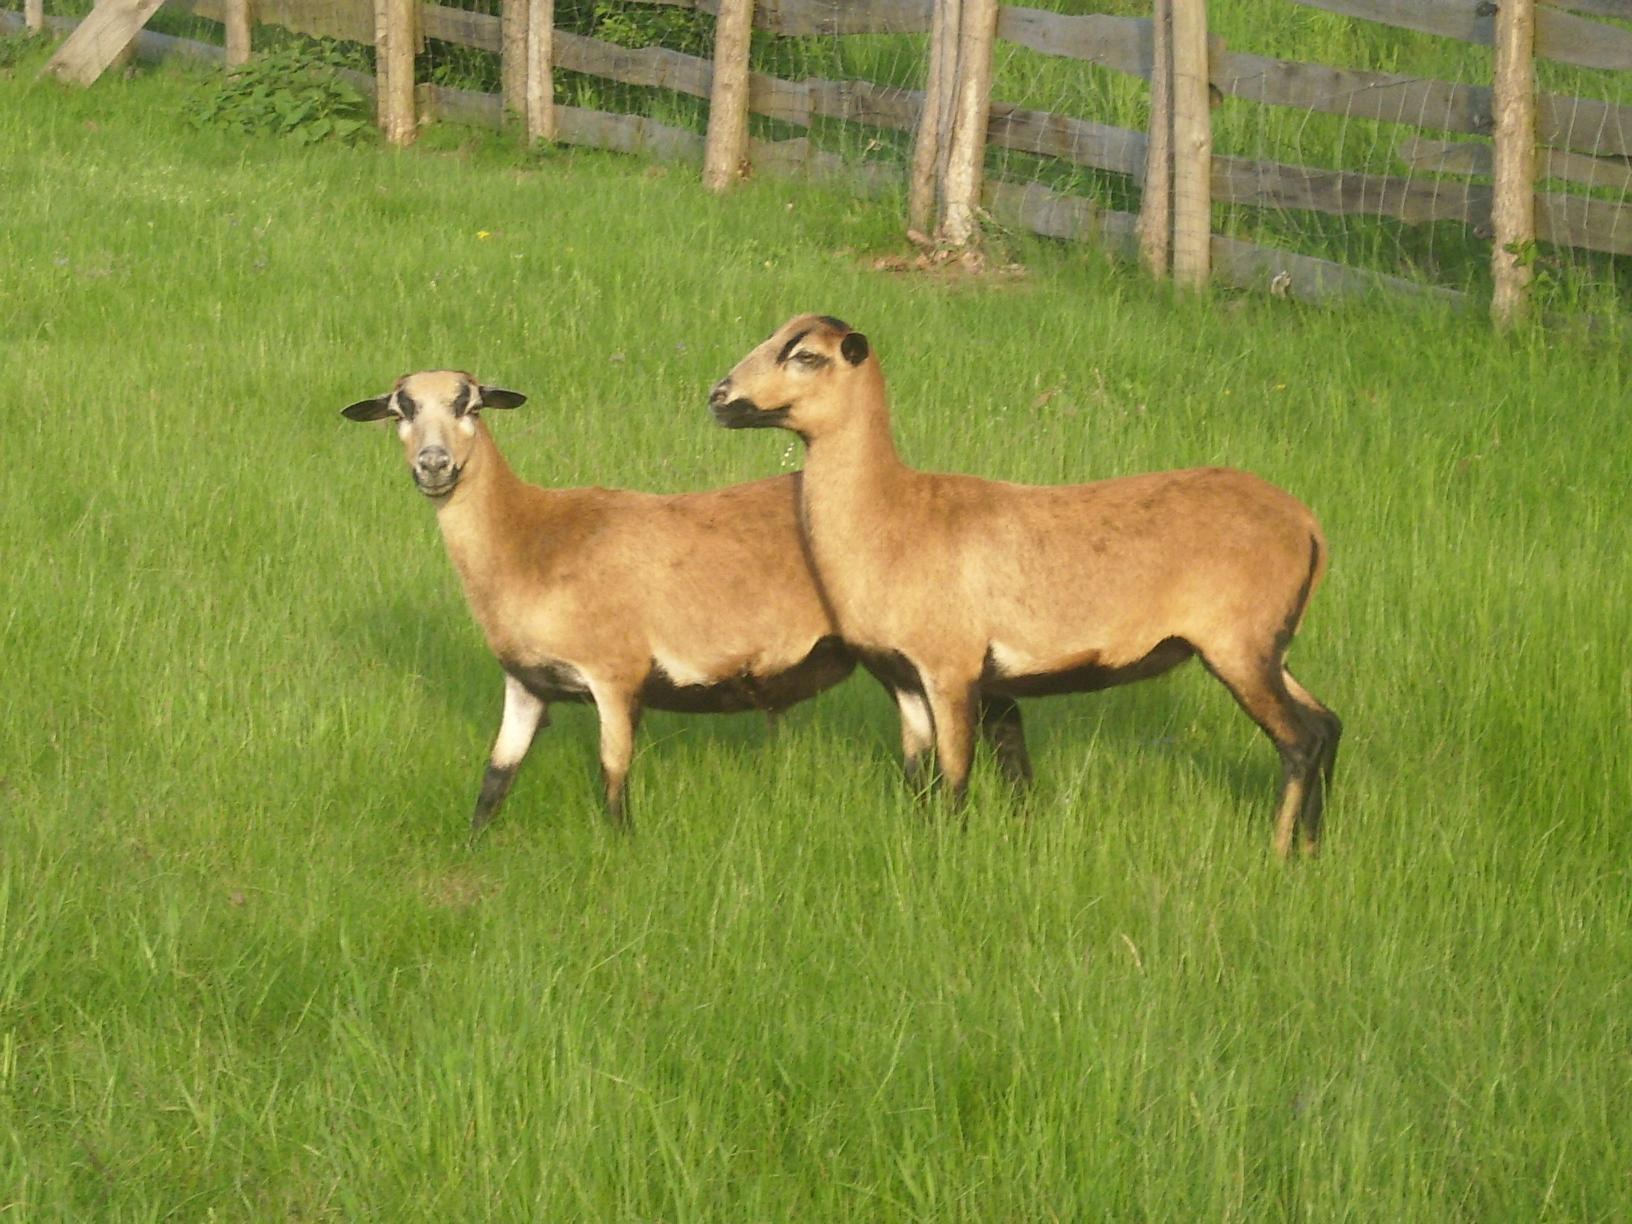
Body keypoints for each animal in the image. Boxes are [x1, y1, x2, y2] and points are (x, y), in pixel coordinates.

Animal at [341, 369, 1032, 841]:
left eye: (471, 405)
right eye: (401, 409)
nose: (434, 465)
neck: (528, 537)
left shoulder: (615, 673)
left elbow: (613, 773)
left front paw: (622, 849)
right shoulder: (527, 682)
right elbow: (496, 777)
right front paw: (474, 846)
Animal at [708, 316, 1341, 858]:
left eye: (806, 356)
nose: (718, 396)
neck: (889, 516)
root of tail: (1308, 525)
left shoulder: (951, 668)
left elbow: (954, 778)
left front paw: (951, 854)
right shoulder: (901, 678)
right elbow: (917, 777)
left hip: (1238, 644)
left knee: (1298, 741)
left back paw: (1279, 852)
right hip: (1269, 645)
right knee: (1327, 724)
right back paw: (1312, 847)